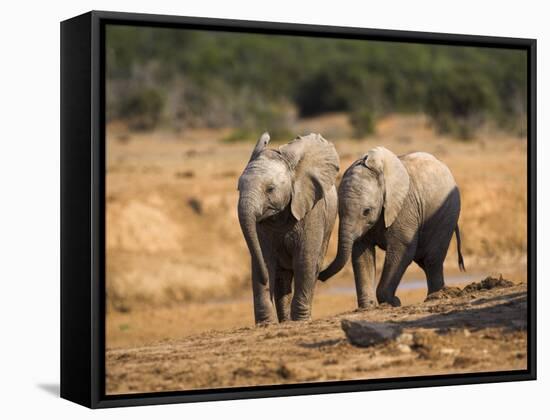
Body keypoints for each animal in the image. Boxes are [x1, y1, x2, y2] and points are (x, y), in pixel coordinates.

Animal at [238, 133, 340, 324]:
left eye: (270, 189)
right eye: (238, 188)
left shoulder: (311, 211)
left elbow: (304, 260)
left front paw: (300, 320)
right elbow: (264, 259)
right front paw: (265, 324)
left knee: (312, 268)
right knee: (281, 277)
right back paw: (284, 321)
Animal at [320, 146, 466, 306]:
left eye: (366, 211)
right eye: (339, 211)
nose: (319, 275)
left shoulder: (405, 206)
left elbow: (401, 248)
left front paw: (393, 302)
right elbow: (361, 253)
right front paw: (368, 307)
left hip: (447, 214)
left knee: (432, 259)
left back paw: (435, 296)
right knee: (424, 261)